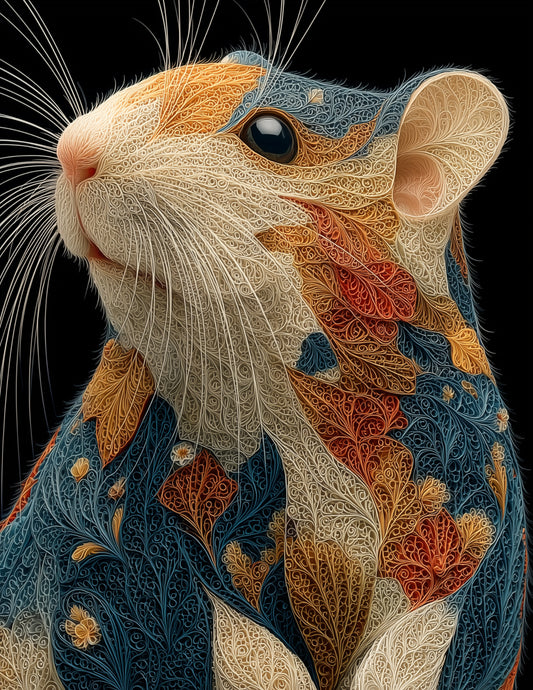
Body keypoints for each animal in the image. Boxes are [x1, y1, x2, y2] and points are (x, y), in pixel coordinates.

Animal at [0, 4, 527, 690]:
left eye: (271, 136)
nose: (73, 152)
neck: (297, 407)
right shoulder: (107, 533)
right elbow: (193, 633)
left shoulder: (476, 514)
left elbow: (441, 637)